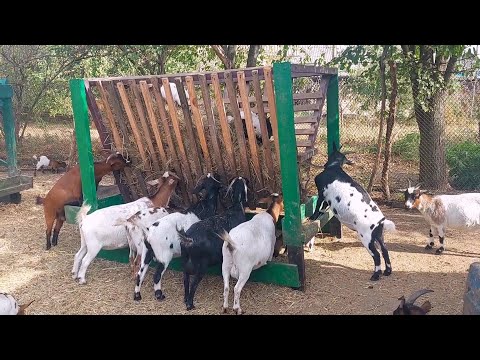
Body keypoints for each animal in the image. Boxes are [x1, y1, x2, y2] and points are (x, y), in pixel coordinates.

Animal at [132, 173, 224, 302]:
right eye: (213, 180)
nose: (218, 175)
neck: (203, 208)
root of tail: (149, 233)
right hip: (164, 256)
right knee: (157, 276)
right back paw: (159, 295)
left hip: (146, 253)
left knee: (140, 274)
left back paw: (137, 295)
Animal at [178, 176, 249, 310]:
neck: (236, 207)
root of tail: (188, 239)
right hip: (201, 266)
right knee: (193, 283)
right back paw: (190, 304)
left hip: (185, 261)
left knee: (185, 279)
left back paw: (185, 299)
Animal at [310, 143, 396, 282]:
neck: (334, 168)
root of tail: (380, 221)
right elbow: (323, 206)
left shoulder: (322, 192)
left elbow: (318, 205)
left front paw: (313, 217)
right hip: (378, 235)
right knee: (384, 250)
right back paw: (388, 271)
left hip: (366, 237)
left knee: (376, 255)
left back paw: (375, 275)